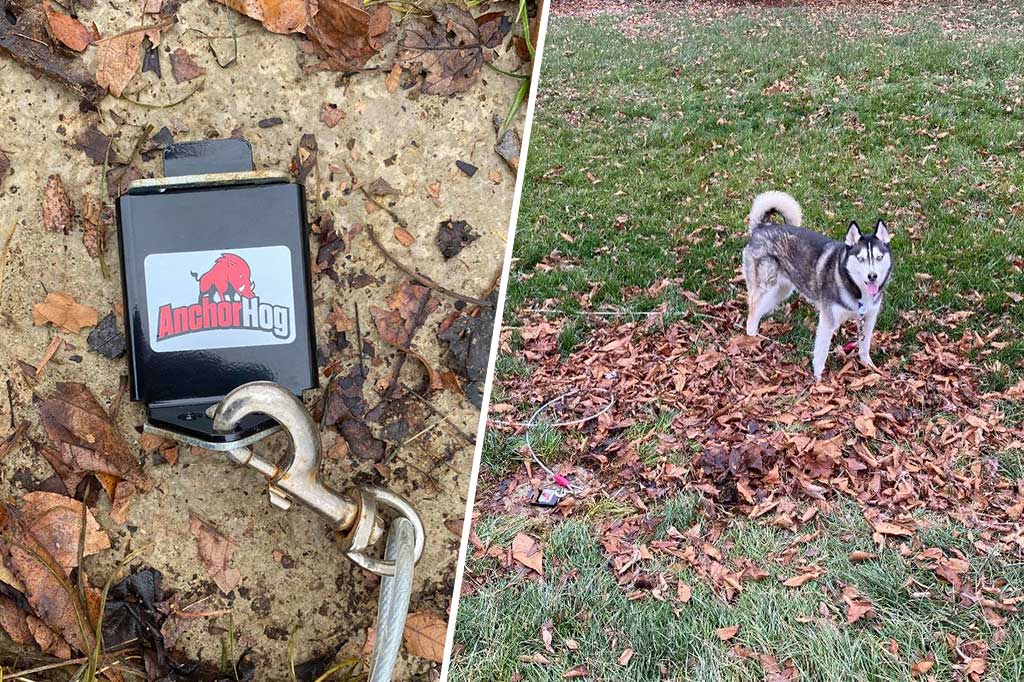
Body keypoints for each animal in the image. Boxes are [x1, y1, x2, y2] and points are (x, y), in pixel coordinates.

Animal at [741, 191, 892, 376]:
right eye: (861, 258)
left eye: (879, 257)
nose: (873, 276)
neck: (855, 289)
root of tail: (761, 227)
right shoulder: (828, 321)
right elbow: (822, 352)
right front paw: (818, 378)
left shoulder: (868, 319)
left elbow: (864, 347)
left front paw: (869, 366)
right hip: (765, 286)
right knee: (752, 312)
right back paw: (752, 337)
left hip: (782, 289)